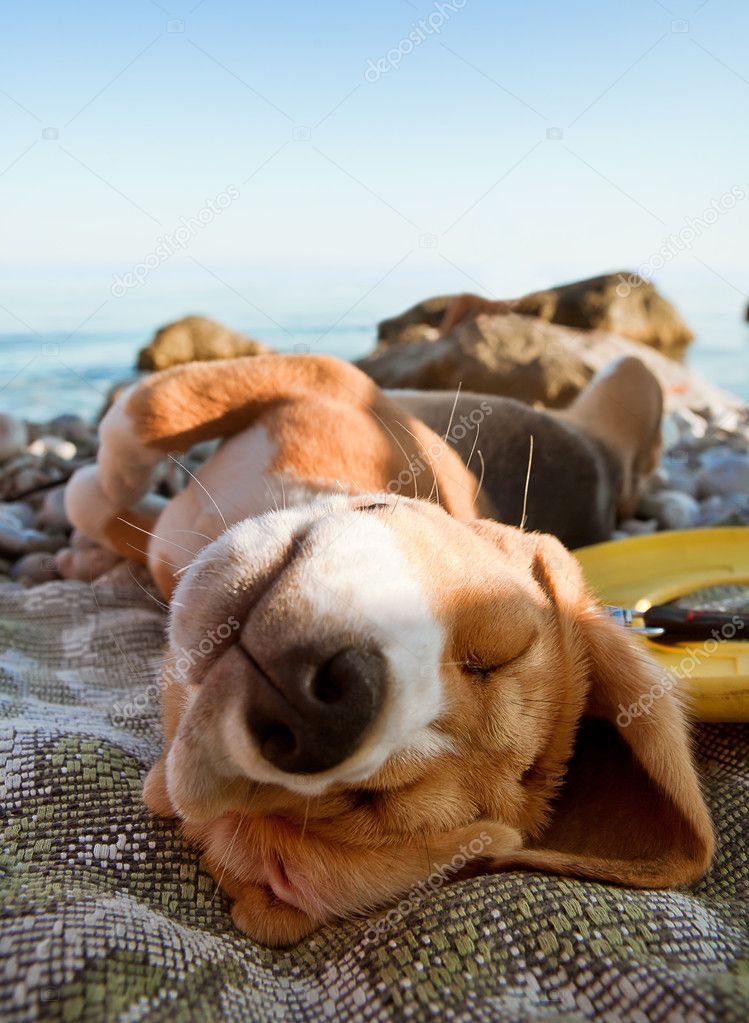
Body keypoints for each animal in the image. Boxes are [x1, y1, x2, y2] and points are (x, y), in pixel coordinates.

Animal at [65, 356, 712, 945]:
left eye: (362, 802)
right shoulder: (326, 378)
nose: (319, 702)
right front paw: (101, 490)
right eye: (494, 652)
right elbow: (146, 414)